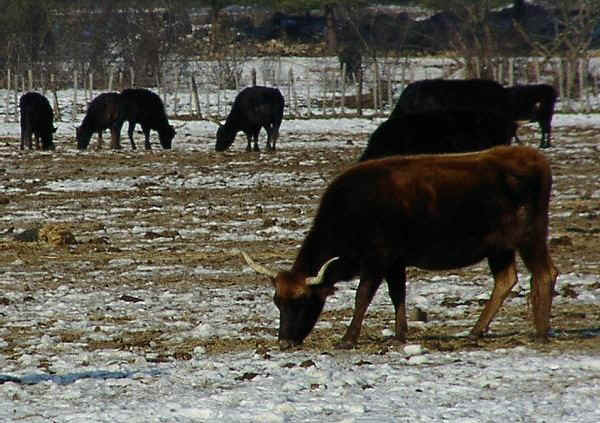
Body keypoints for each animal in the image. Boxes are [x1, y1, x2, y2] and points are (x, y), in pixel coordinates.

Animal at [241, 147, 560, 352]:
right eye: (277, 301)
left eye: (303, 301)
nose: (284, 342)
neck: (349, 214)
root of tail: (537, 160)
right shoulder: (395, 261)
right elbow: (398, 294)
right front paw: (399, 334)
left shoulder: (377, 259)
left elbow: (363, 296)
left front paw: (348, 338)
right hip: (499, 248)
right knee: (506, 280)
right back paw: (475, 331)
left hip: (529, 237)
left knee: (546, 273)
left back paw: (540, 332)